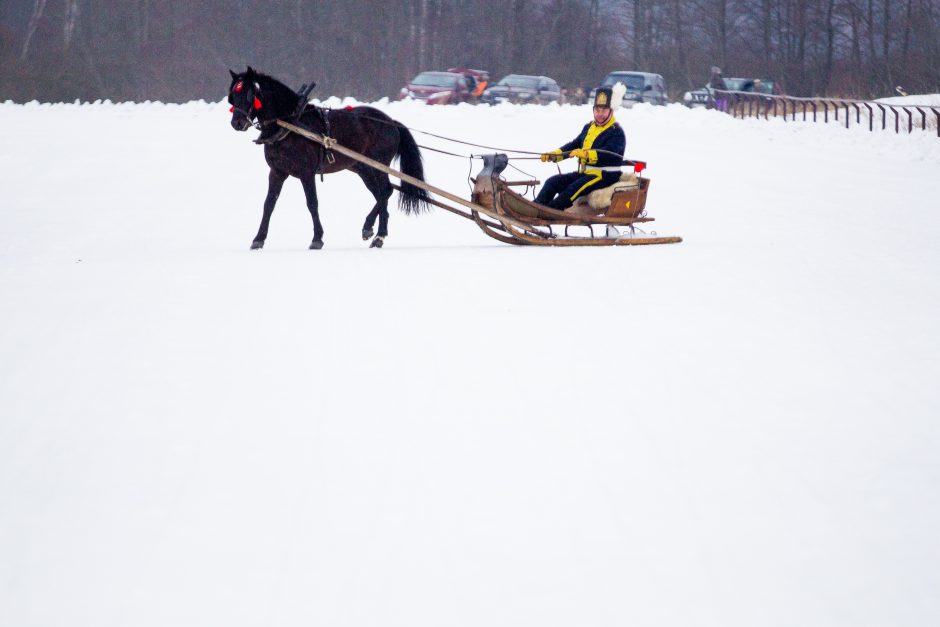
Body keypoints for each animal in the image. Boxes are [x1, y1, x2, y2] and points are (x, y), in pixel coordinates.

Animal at [228, 65, 430, 248]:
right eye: (233, 96)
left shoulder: (306, 173)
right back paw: (377, 234)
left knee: (385, 192)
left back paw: (372, 229)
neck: (290, 124)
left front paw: (317, 238)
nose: (236, 123)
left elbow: (312, 203)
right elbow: (269, 203)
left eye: (249, 94)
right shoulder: (277, 172)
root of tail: (391, 122)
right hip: (364, 169)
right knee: (381, 194)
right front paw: (258, 239)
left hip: (378, 165)